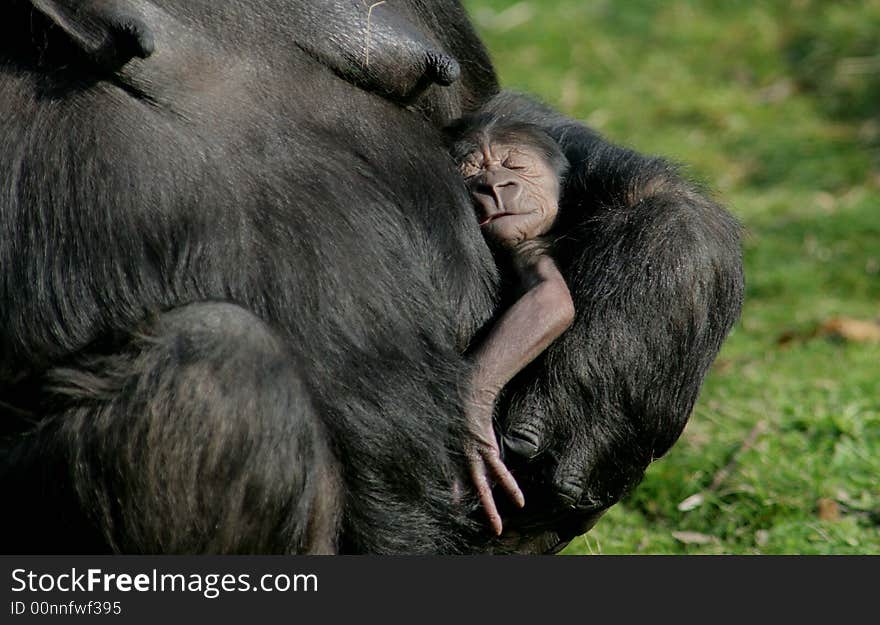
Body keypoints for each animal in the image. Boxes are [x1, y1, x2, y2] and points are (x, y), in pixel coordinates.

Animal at [450, 114, 576, 532]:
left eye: (515, 165)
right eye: (472, 170)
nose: (494, 185)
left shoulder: (530, 242)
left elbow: (550, 299)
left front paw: (470, 423)